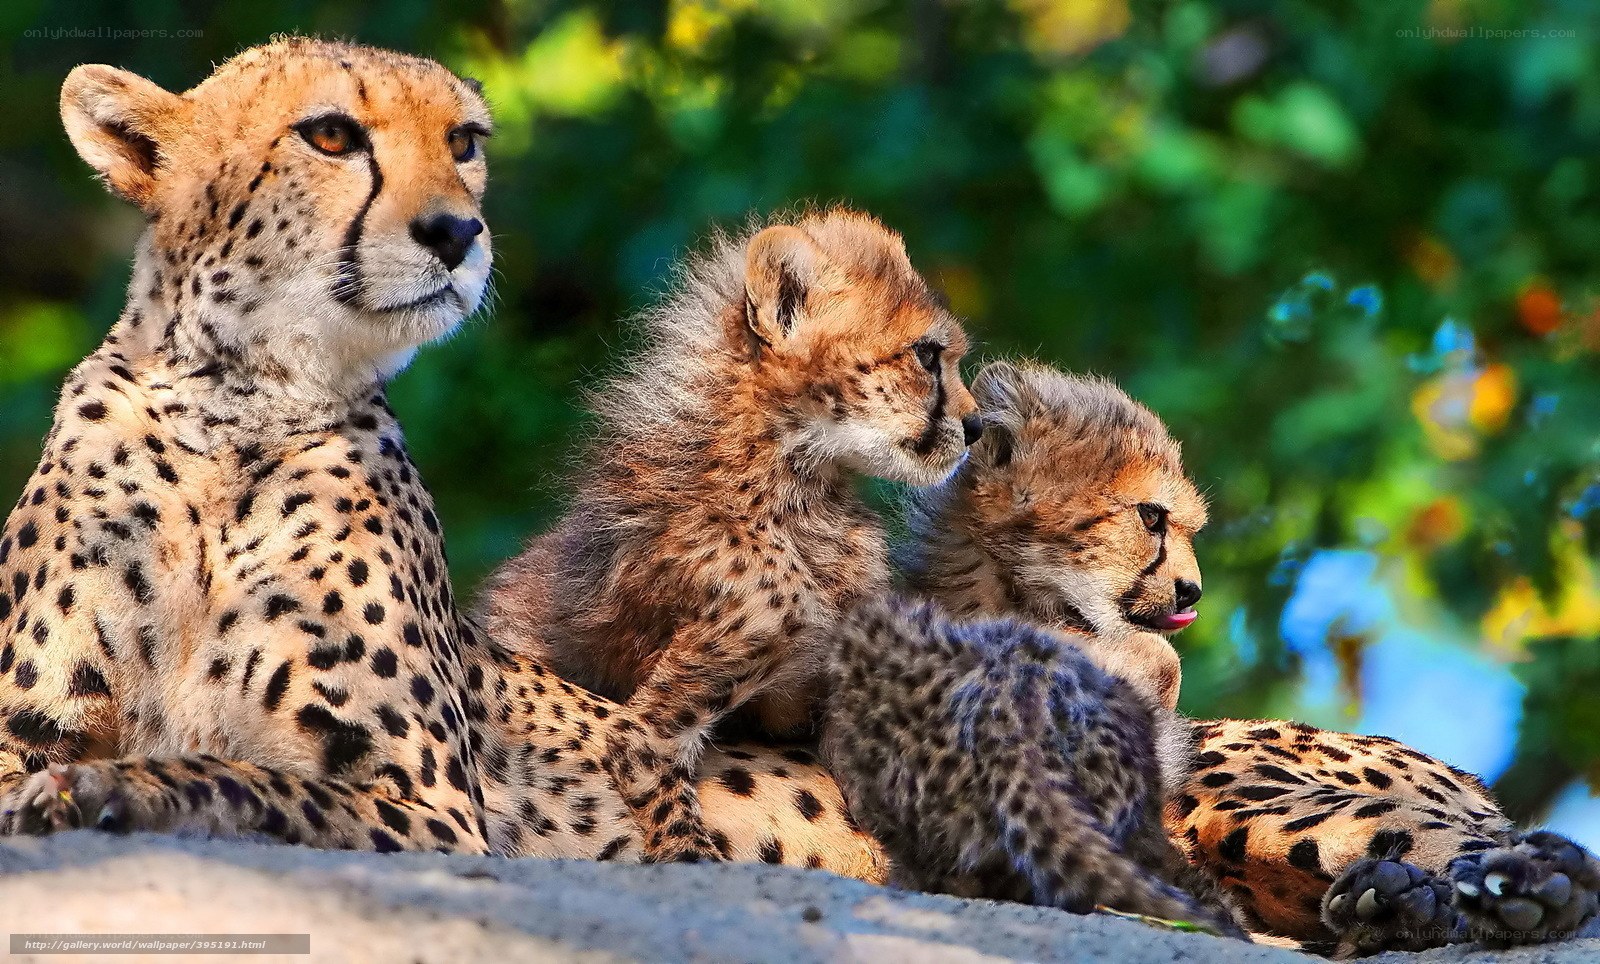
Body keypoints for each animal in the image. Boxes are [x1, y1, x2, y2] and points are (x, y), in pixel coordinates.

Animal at [0, 40, 887, 884]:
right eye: (332, 134)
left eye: (463, 141)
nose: (457, 234)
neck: (237, 416)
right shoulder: (26, 730)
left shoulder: (438, 807)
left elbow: (239, 776)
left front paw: (110, 787)